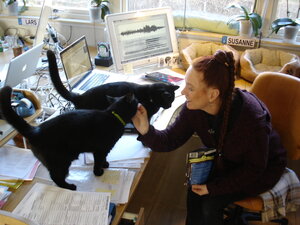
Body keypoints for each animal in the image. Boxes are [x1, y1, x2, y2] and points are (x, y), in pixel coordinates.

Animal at [0, 86, 138, 190]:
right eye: (136, 101)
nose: (139, 101)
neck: (114, 116)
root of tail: (35, 130)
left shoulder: (103, 150)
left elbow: (103, 159)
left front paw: (105, 164)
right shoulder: (100, 149)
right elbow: (98, 161)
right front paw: (98, 172)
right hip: (61, 161)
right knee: (56, 177)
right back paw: (69, 187)